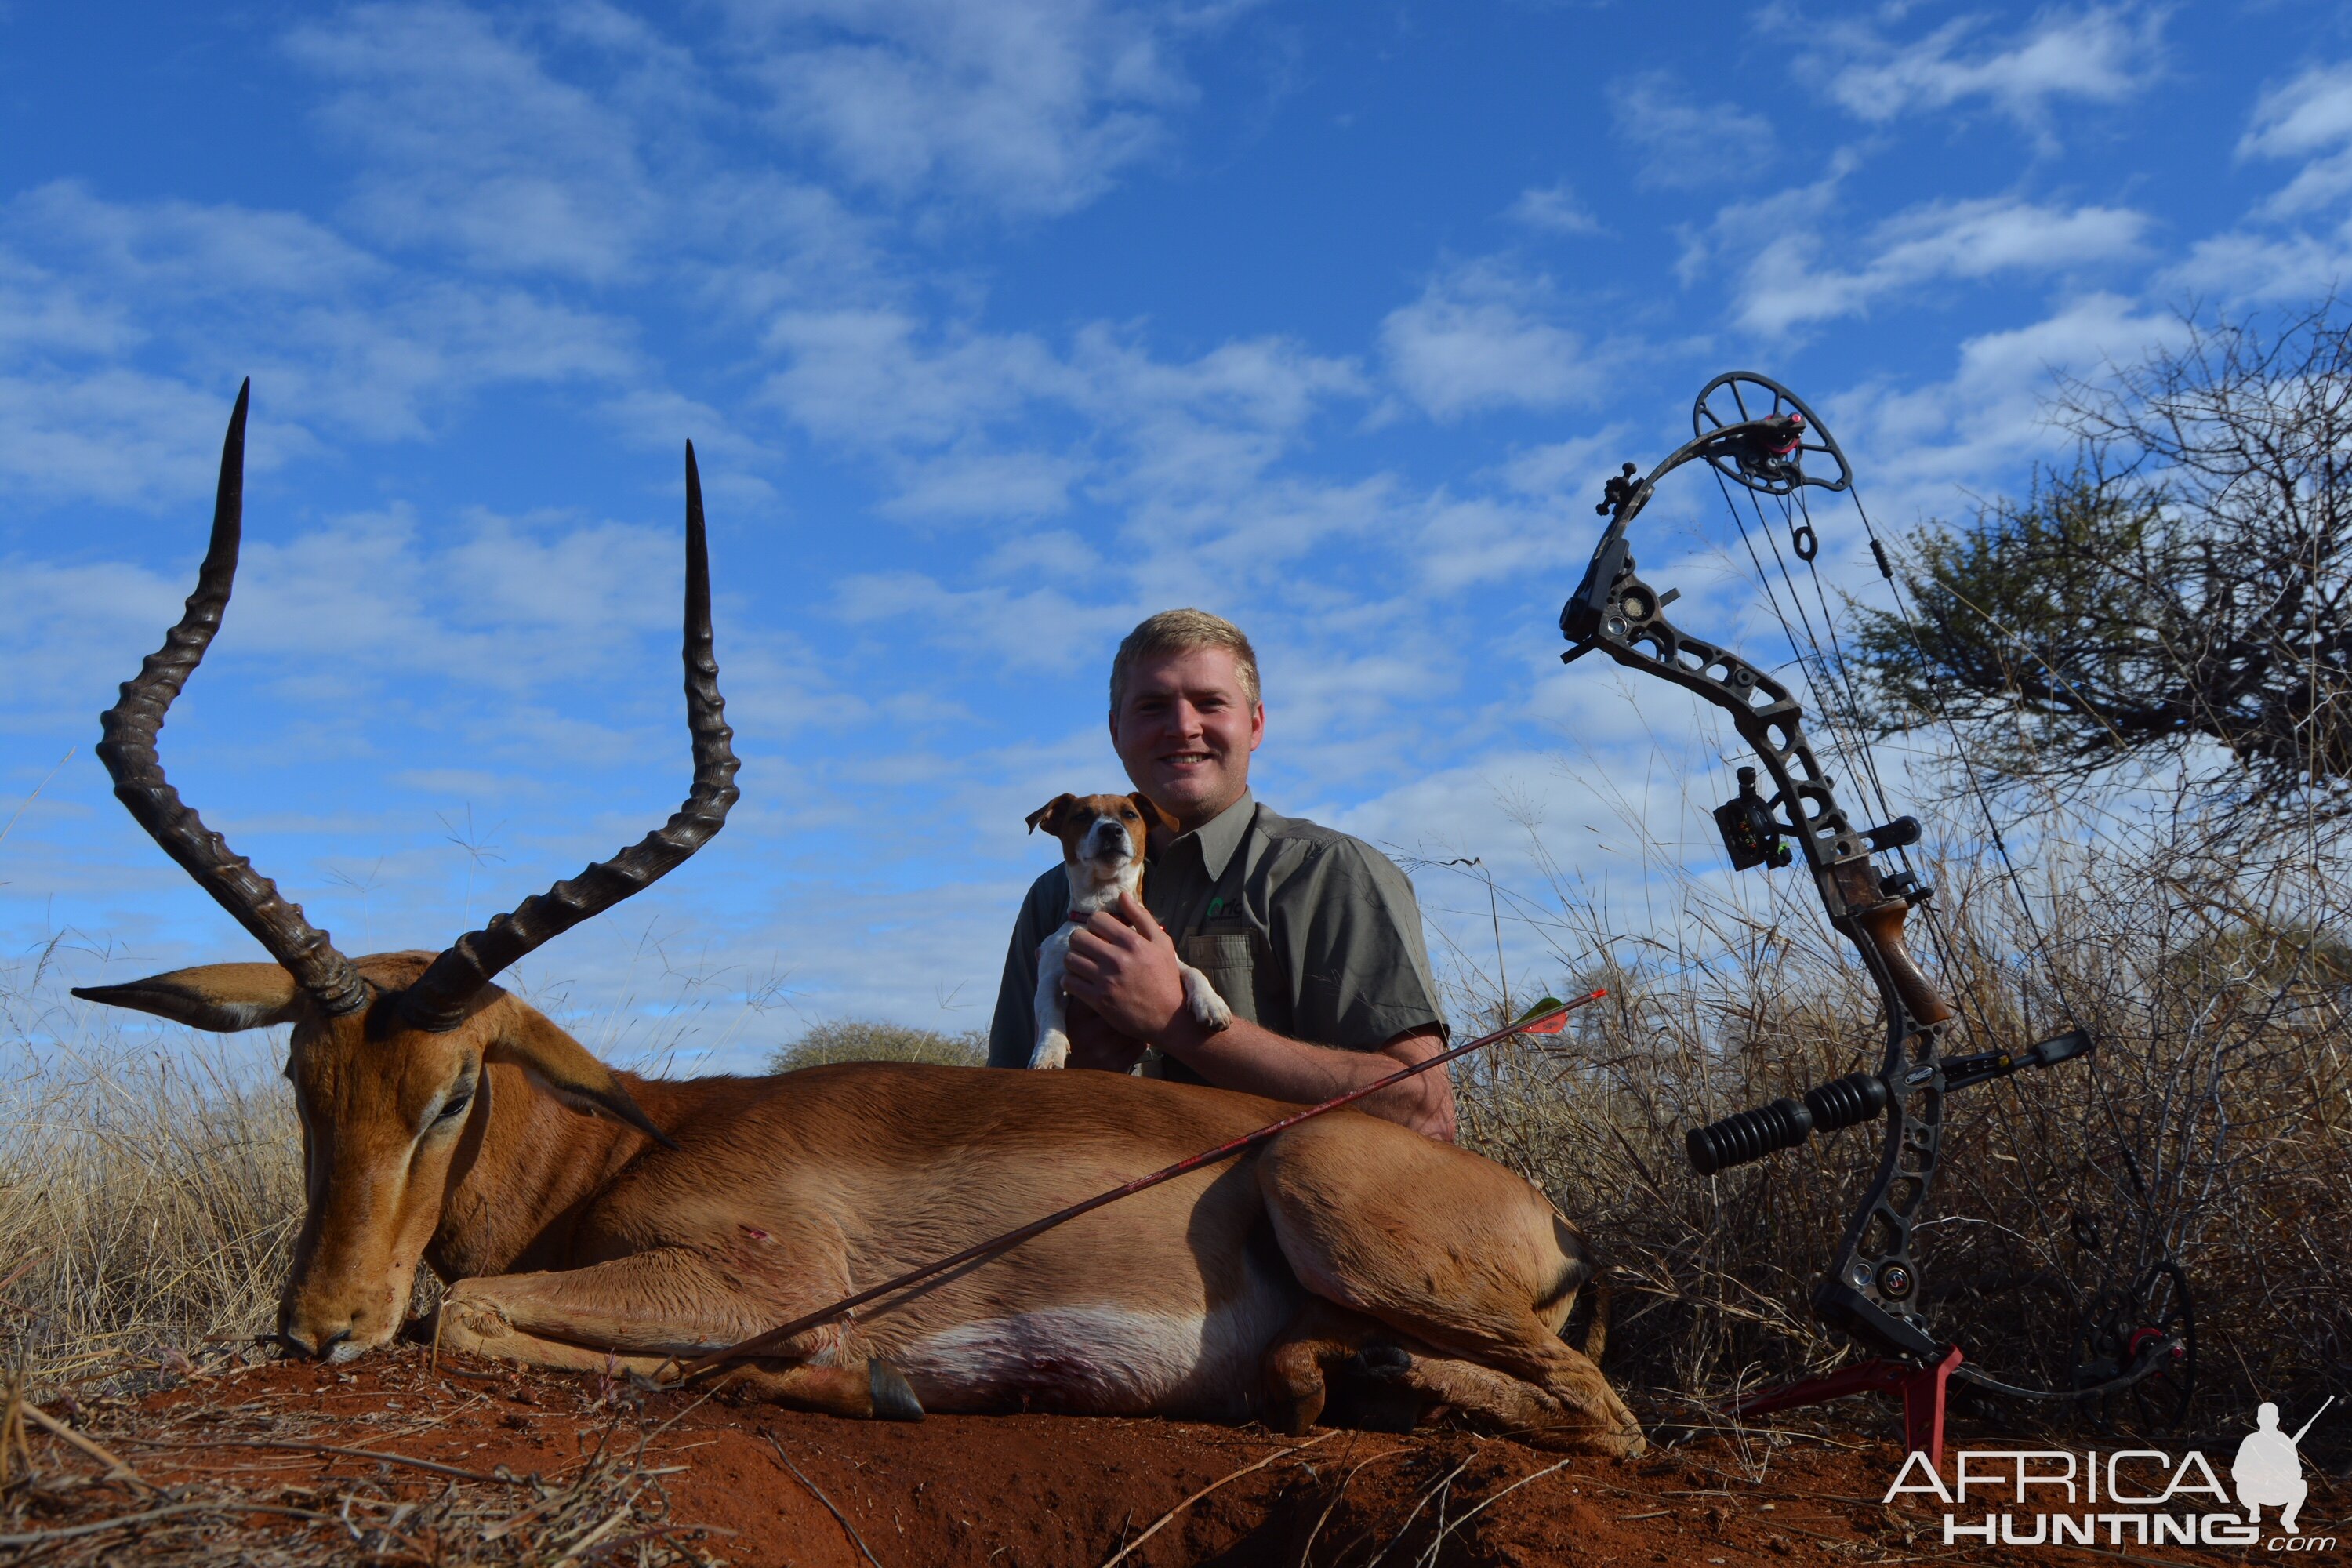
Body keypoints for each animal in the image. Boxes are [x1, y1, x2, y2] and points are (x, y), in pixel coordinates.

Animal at [1025, 789, 1232, 1072]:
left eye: (1130, 814)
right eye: (1081, 816)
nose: (1111, 830)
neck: (1106, 911)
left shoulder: (1167, 960)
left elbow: (1194, 971)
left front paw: (1211, 1004)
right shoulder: (1050, 976)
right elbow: (1050, 1015)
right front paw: (1048, 1051)